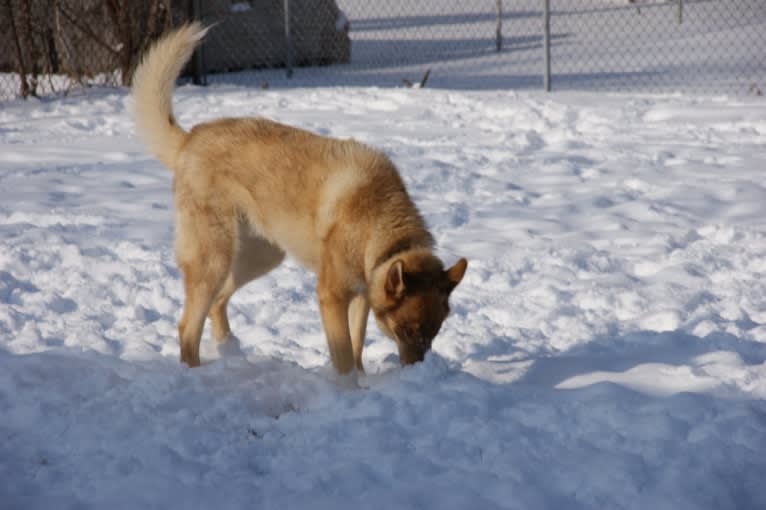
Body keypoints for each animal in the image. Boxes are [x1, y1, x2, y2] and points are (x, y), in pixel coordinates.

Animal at [132, 22, 468, 374]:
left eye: (434, 333)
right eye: (406, 330)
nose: (419, 371)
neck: (379, 224)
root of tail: (189, 140)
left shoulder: (361, 296)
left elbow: (357, 347)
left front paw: (364, 381)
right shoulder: (332, 296)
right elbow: (345, 358)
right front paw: (349, 387)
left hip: (260, 256)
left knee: (218, 303)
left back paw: (230, 352)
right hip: (214, 259)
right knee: (187, 326)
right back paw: (195, 371)